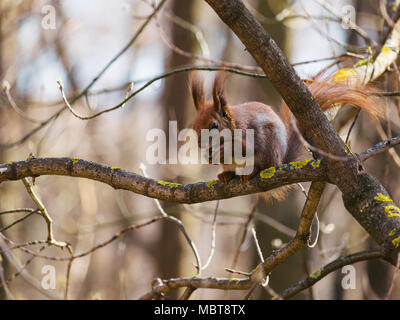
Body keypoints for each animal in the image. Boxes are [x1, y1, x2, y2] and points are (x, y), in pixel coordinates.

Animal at [191, 71, 382, 184]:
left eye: (214, 125)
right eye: (193, 127)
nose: (200, 145)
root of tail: (280, 159)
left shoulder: (248, 130)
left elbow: (246, 147)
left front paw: (223, 150)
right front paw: (209, 156)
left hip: (270, 147)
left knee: (263, 165)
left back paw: (252, 172)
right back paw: (226, 175)